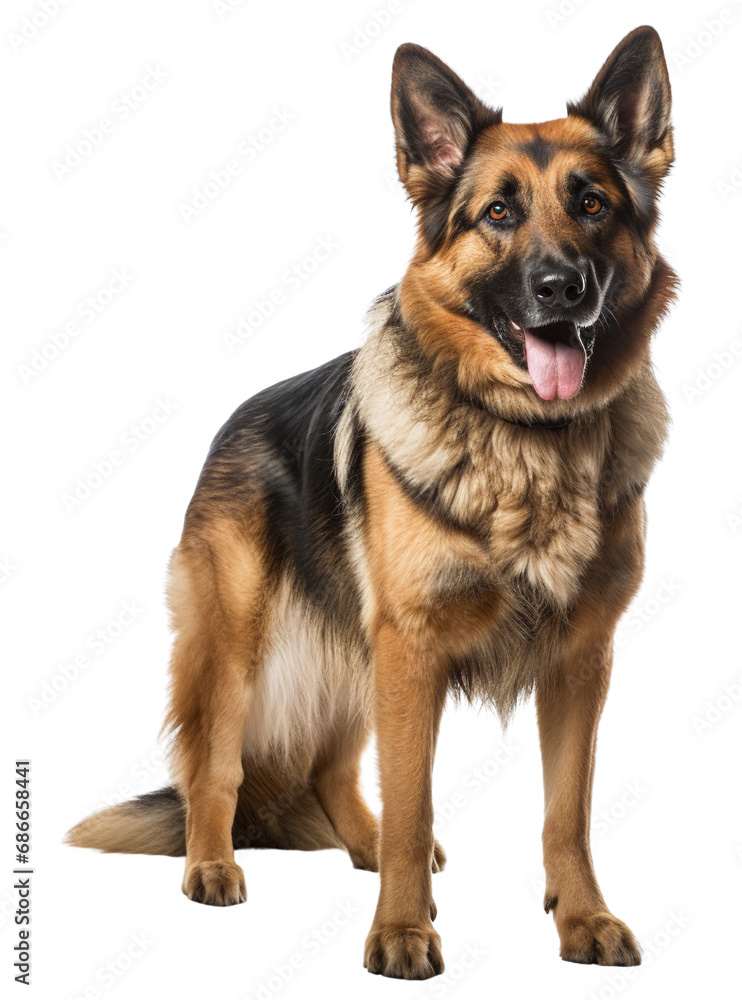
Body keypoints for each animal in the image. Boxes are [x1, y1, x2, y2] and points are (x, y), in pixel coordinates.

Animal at [67, 27, 676, 980]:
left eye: (591, 204)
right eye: (497, 214)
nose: (561, 287)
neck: (527, 444)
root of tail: (230, 423)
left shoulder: (581, 659)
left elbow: (566, 811)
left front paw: (582, 918)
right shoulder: (413, 647)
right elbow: (414, 795)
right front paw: (400, 932)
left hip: (360, 654)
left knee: (329, 770)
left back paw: (367, 844)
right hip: (240, 647)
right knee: (215, 768)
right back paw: (214, 864)